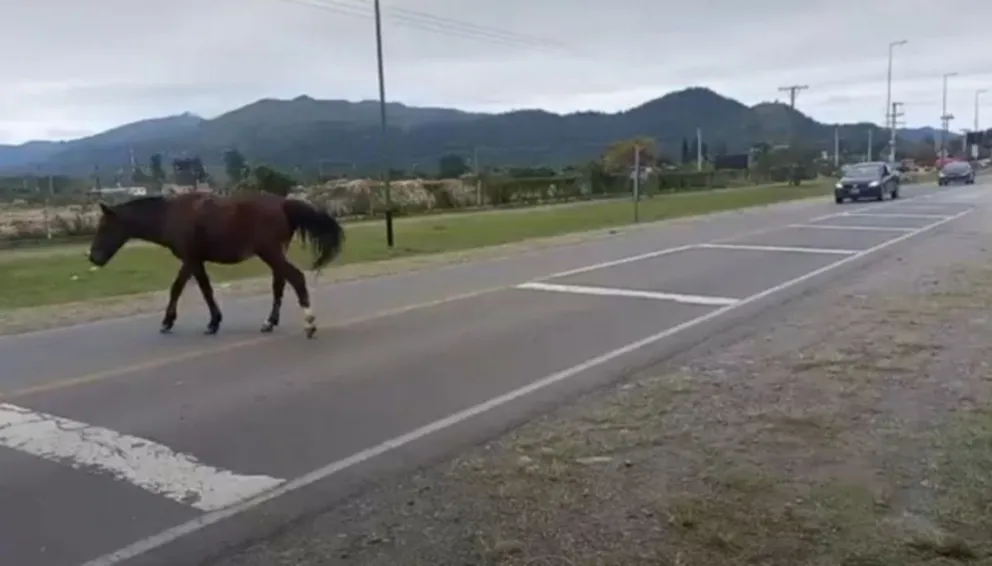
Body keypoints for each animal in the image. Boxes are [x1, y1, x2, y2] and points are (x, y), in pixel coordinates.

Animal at [87, 191, 345, 339]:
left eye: (105, 227)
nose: (93, 257)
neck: (170, 215)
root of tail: (284, 204)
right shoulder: (197, 261)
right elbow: (205, 290)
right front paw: (213, 322)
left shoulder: (190, 259)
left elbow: (179, 288)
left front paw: (169, 322)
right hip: (275, 253)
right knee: (279, 284)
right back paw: (269, 322)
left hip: (270, 253)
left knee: (296, 278)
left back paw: (309, 323)